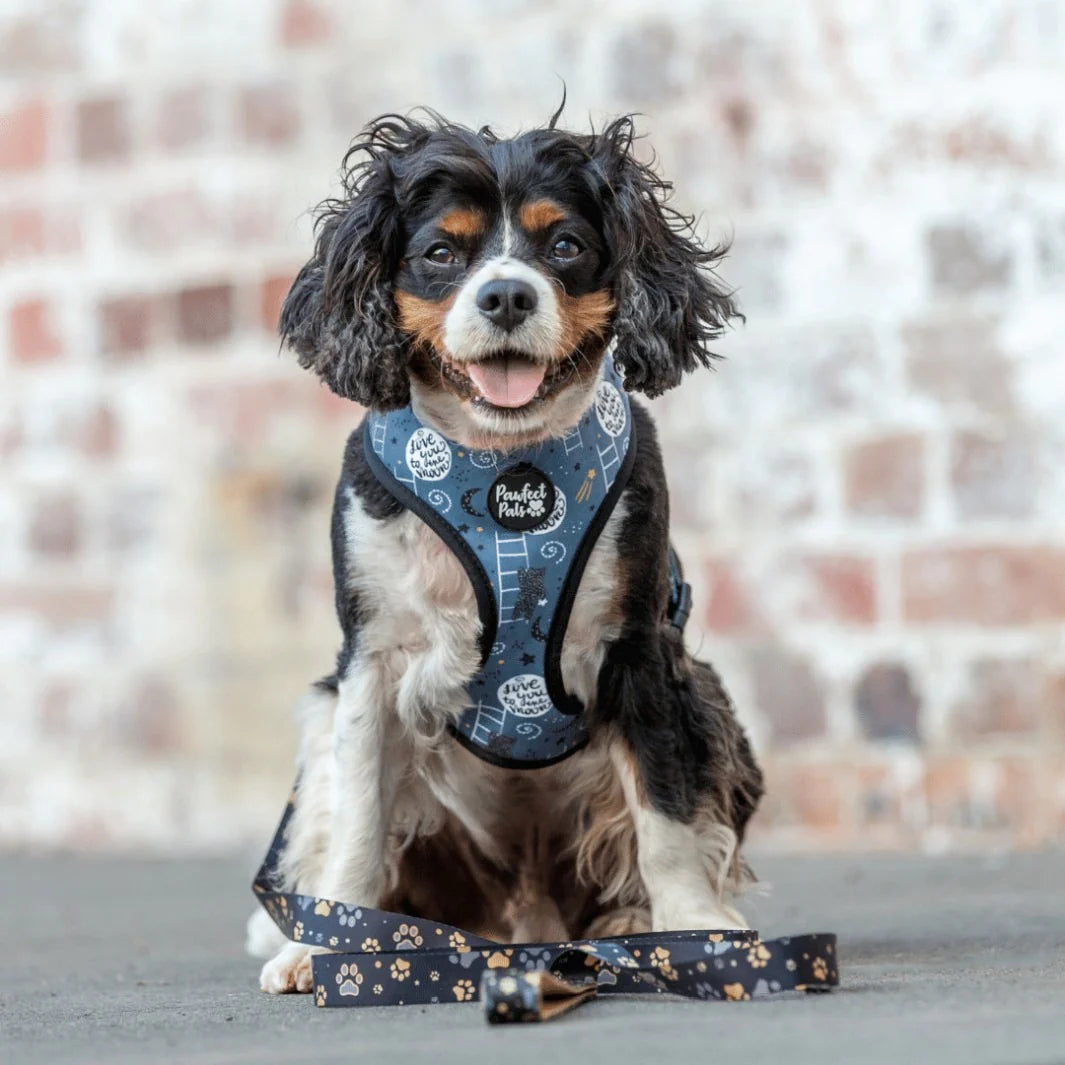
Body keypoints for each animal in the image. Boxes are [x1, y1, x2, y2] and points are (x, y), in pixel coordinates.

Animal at [249, 108, 766, 988]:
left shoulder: (639, 647)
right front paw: (329, 942)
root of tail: (528, 918)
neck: (505, 470)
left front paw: (691, 925)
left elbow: (663, 809)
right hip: (326, 719)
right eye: (439, 253)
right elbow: (357, 820)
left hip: (704, 695)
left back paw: (630, 923)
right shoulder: (369, 663)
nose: (505, 293)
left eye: (563, 245)